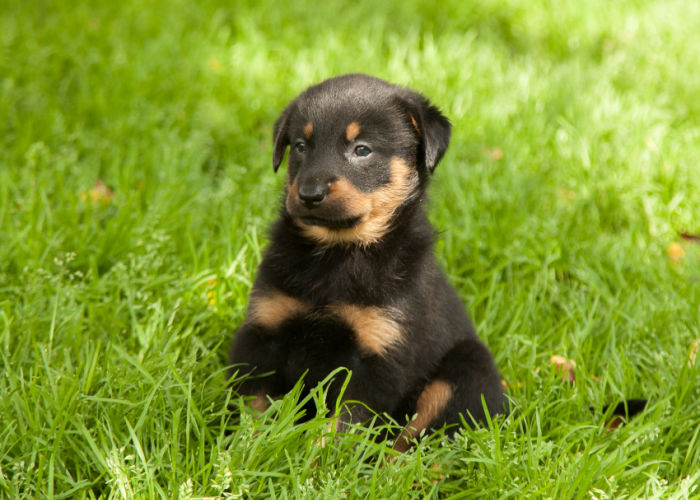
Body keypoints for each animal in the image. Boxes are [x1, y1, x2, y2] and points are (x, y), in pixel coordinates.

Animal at [230, 74, 508, 450]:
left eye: (362, 150)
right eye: (301, 146)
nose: (309, 194)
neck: (339, 253)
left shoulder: (377, 358)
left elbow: (342, 428)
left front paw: (315, 461)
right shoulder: (262, 332)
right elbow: (254, 408)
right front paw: (246, 451)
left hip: (464, 375)